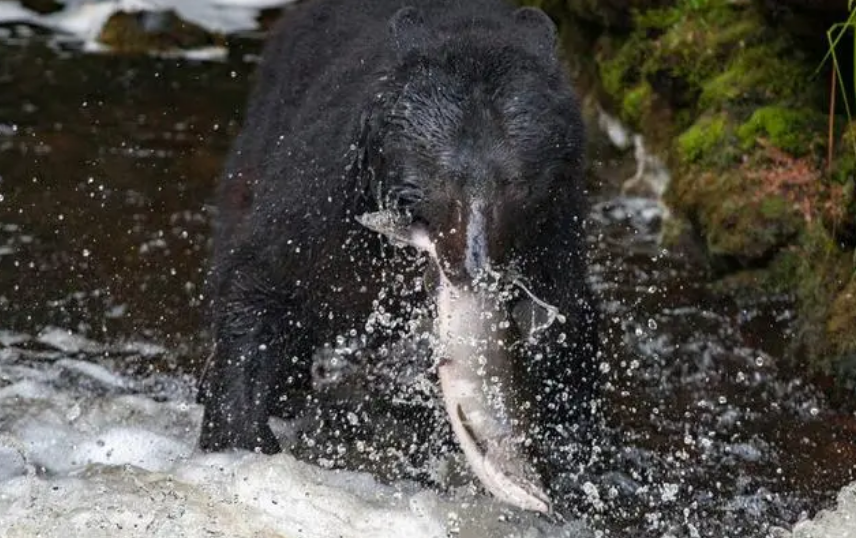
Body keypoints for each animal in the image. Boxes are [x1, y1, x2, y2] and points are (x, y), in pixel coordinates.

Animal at [200, 0, 600, 498]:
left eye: (514, 182)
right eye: (444, 177)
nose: (470, 267)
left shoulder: (552, 236)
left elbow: (567, 343)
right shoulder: (325, 203)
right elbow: (261, 281)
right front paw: (240, 438)